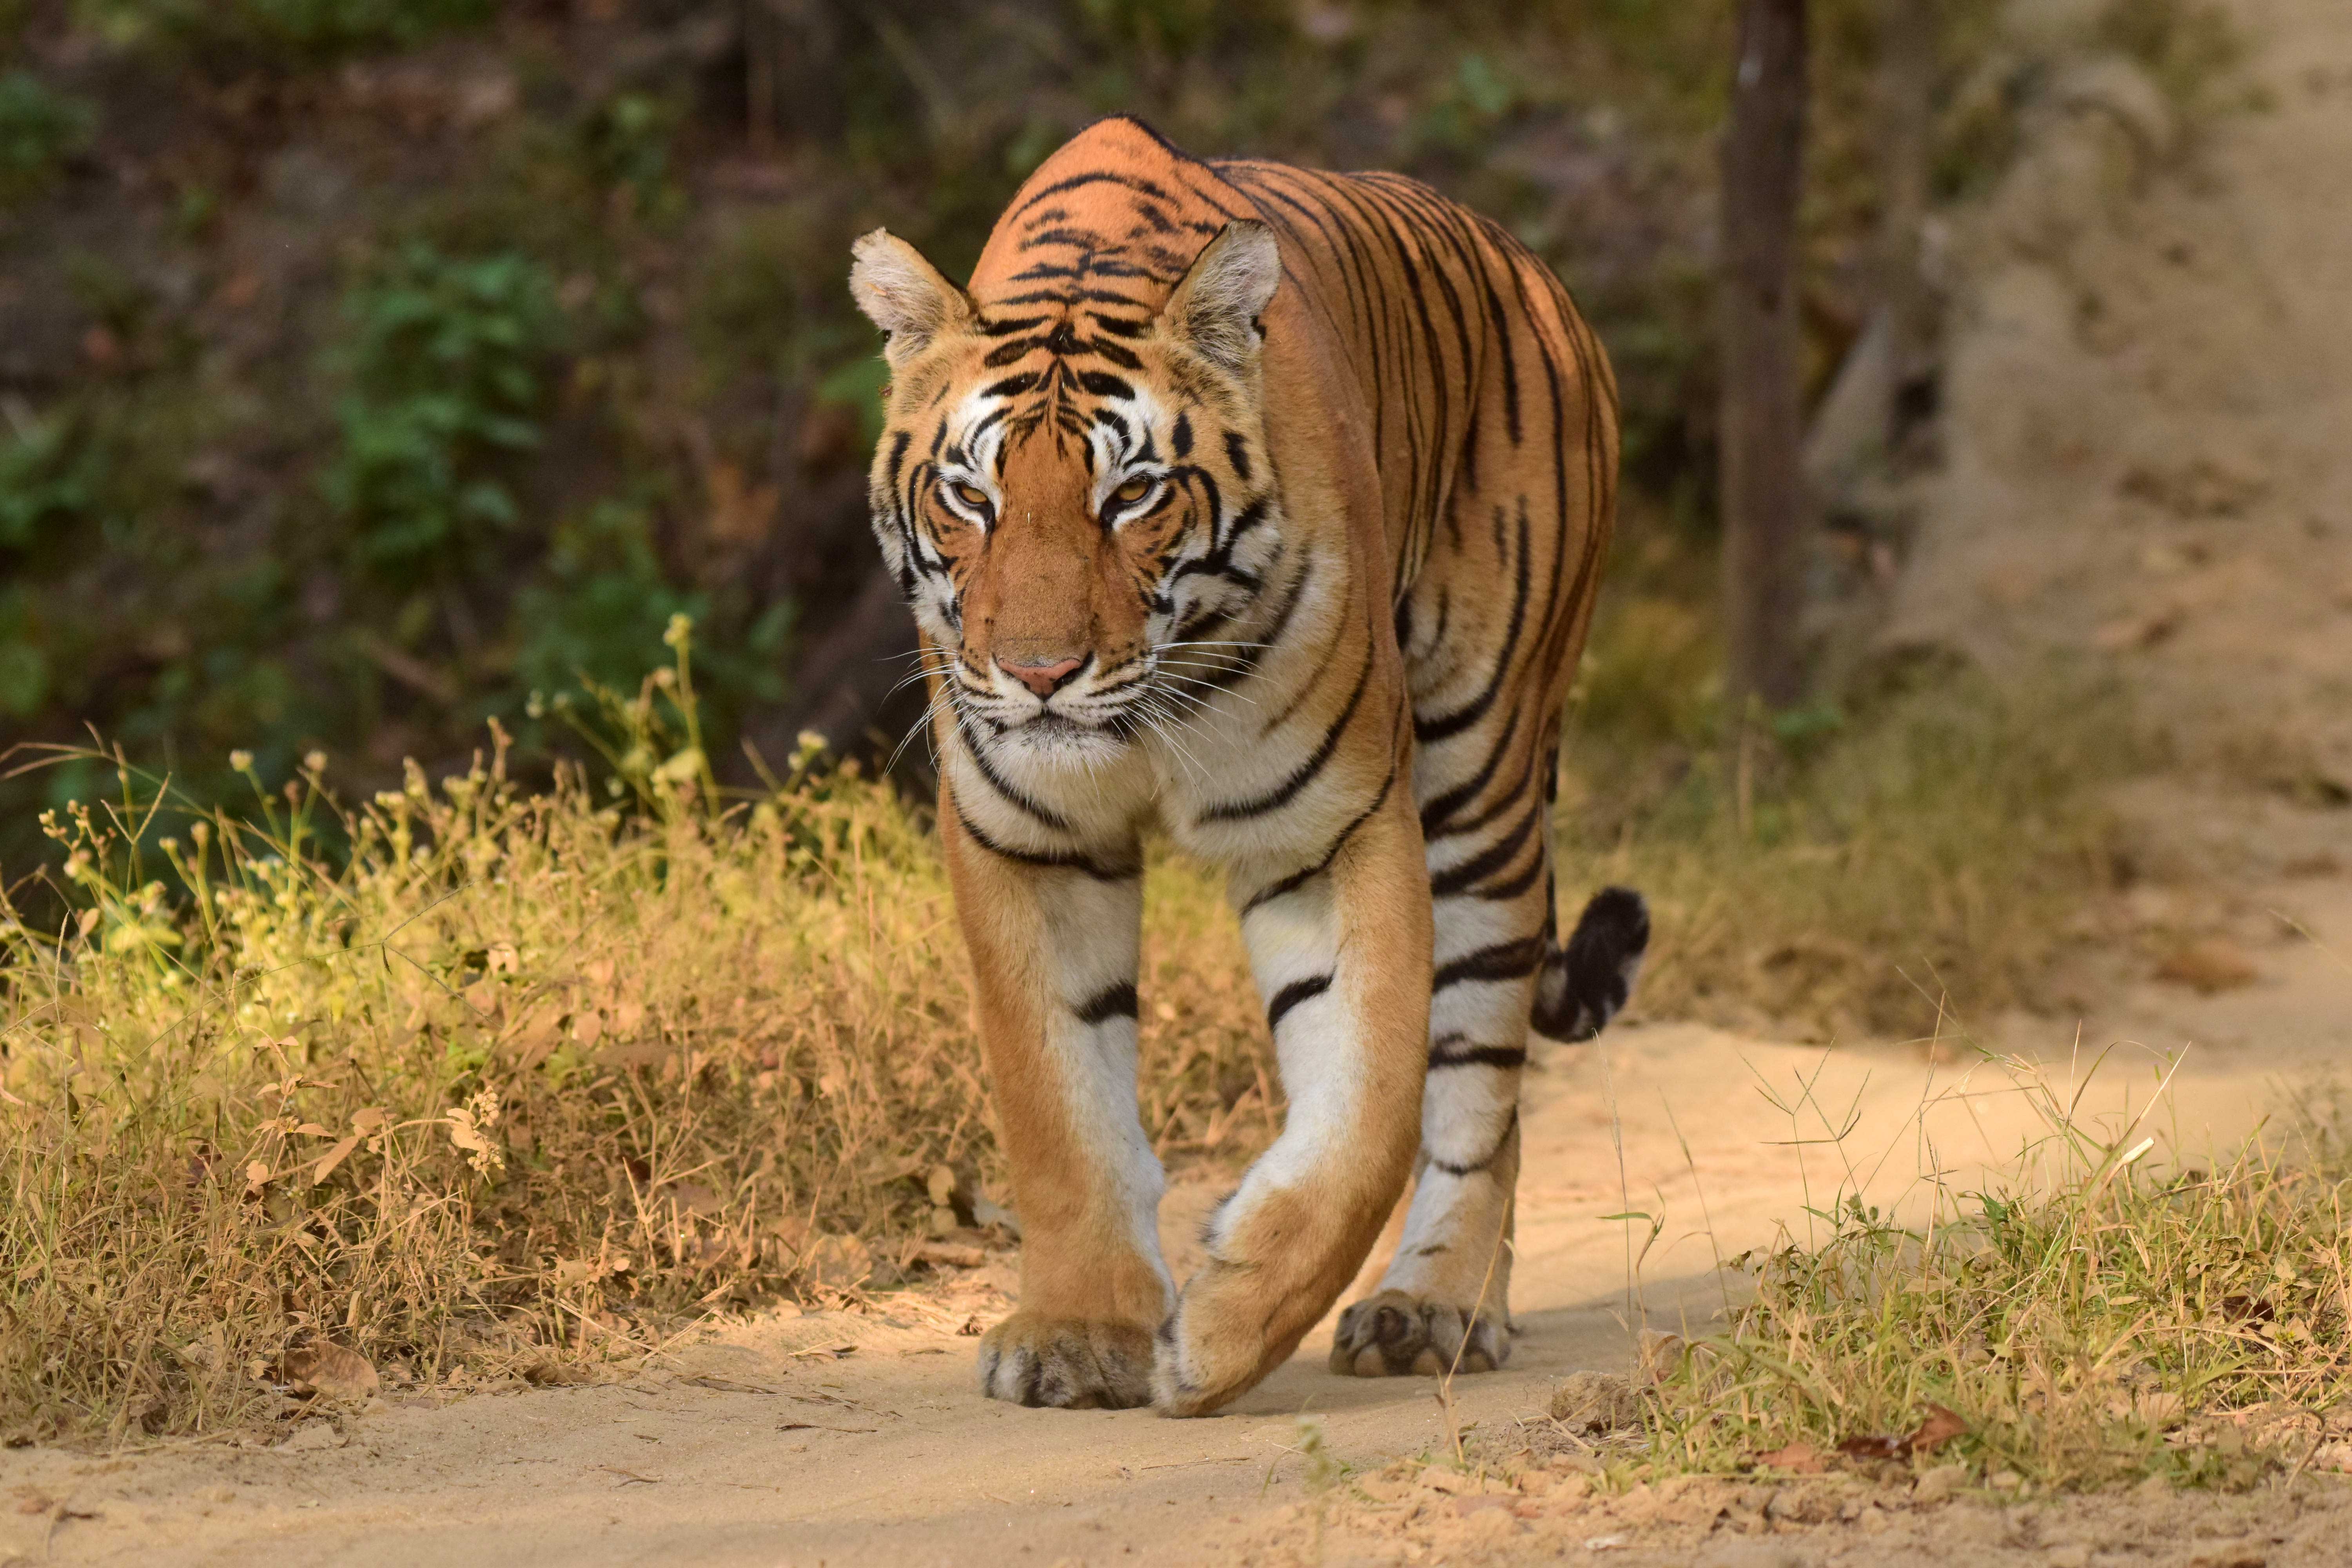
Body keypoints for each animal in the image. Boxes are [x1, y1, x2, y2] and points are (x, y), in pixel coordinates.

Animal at [851, 116, 1656, 1420]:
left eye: (1129, 495)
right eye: (971, 495)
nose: (1037, 673)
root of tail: (1536, 276)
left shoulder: (1331, 829)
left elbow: (1368, 1106)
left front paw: (1226, 1329)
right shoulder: (1028, 841)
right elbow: (1054, 1097)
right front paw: (1079, 1333)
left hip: (1484, 775)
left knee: (1479, 1077)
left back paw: (1435, 1305)